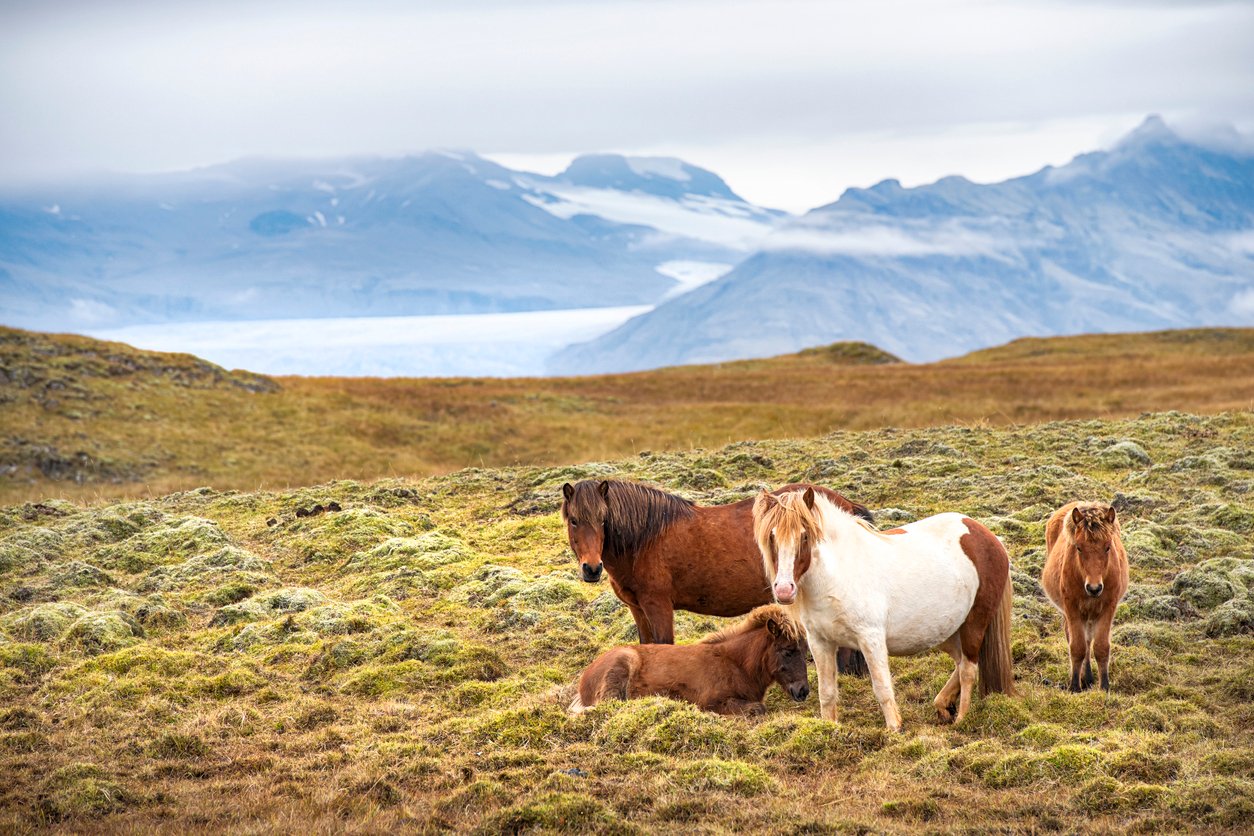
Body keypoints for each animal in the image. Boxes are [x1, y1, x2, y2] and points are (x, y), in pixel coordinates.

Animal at [560, 478, 872, 674]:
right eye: (574, 520)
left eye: (603, 520)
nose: (592, 569)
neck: (645, 539)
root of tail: (847, 506)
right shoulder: (637, 608)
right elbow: (645, 644)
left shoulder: (658, 605)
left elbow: (663, 644)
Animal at [568, 604, 810, 716]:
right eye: (788, 651)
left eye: (807, 652)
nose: (803, 691)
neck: (735, 664)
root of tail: (585, 676)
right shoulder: (712, 702)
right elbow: (758, 708)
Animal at [754, 487, 1014, 731]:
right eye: (772, 537)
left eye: (805, 536)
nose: (784, 590)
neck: (837, 576)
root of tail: (987, 536)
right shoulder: (820, 642)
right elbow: (826, 694)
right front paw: (829, 730)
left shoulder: (871, 639)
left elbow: (882, 688)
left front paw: (894, 729)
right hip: (947, 631)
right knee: (960, 663)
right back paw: (942, 706)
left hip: (974, 623)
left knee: (968, 669)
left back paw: (961, 719)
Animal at [1041, 501, 1129, 692]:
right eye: (1079, 547)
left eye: (1108, 547)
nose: (1094, 588)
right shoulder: (1072, 608)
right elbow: (1077, 647)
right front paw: (1075, 685)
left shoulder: (1108, 608)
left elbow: (1101, 648)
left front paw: (1104, 686)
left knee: (1089, 641)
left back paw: (1088, 678)